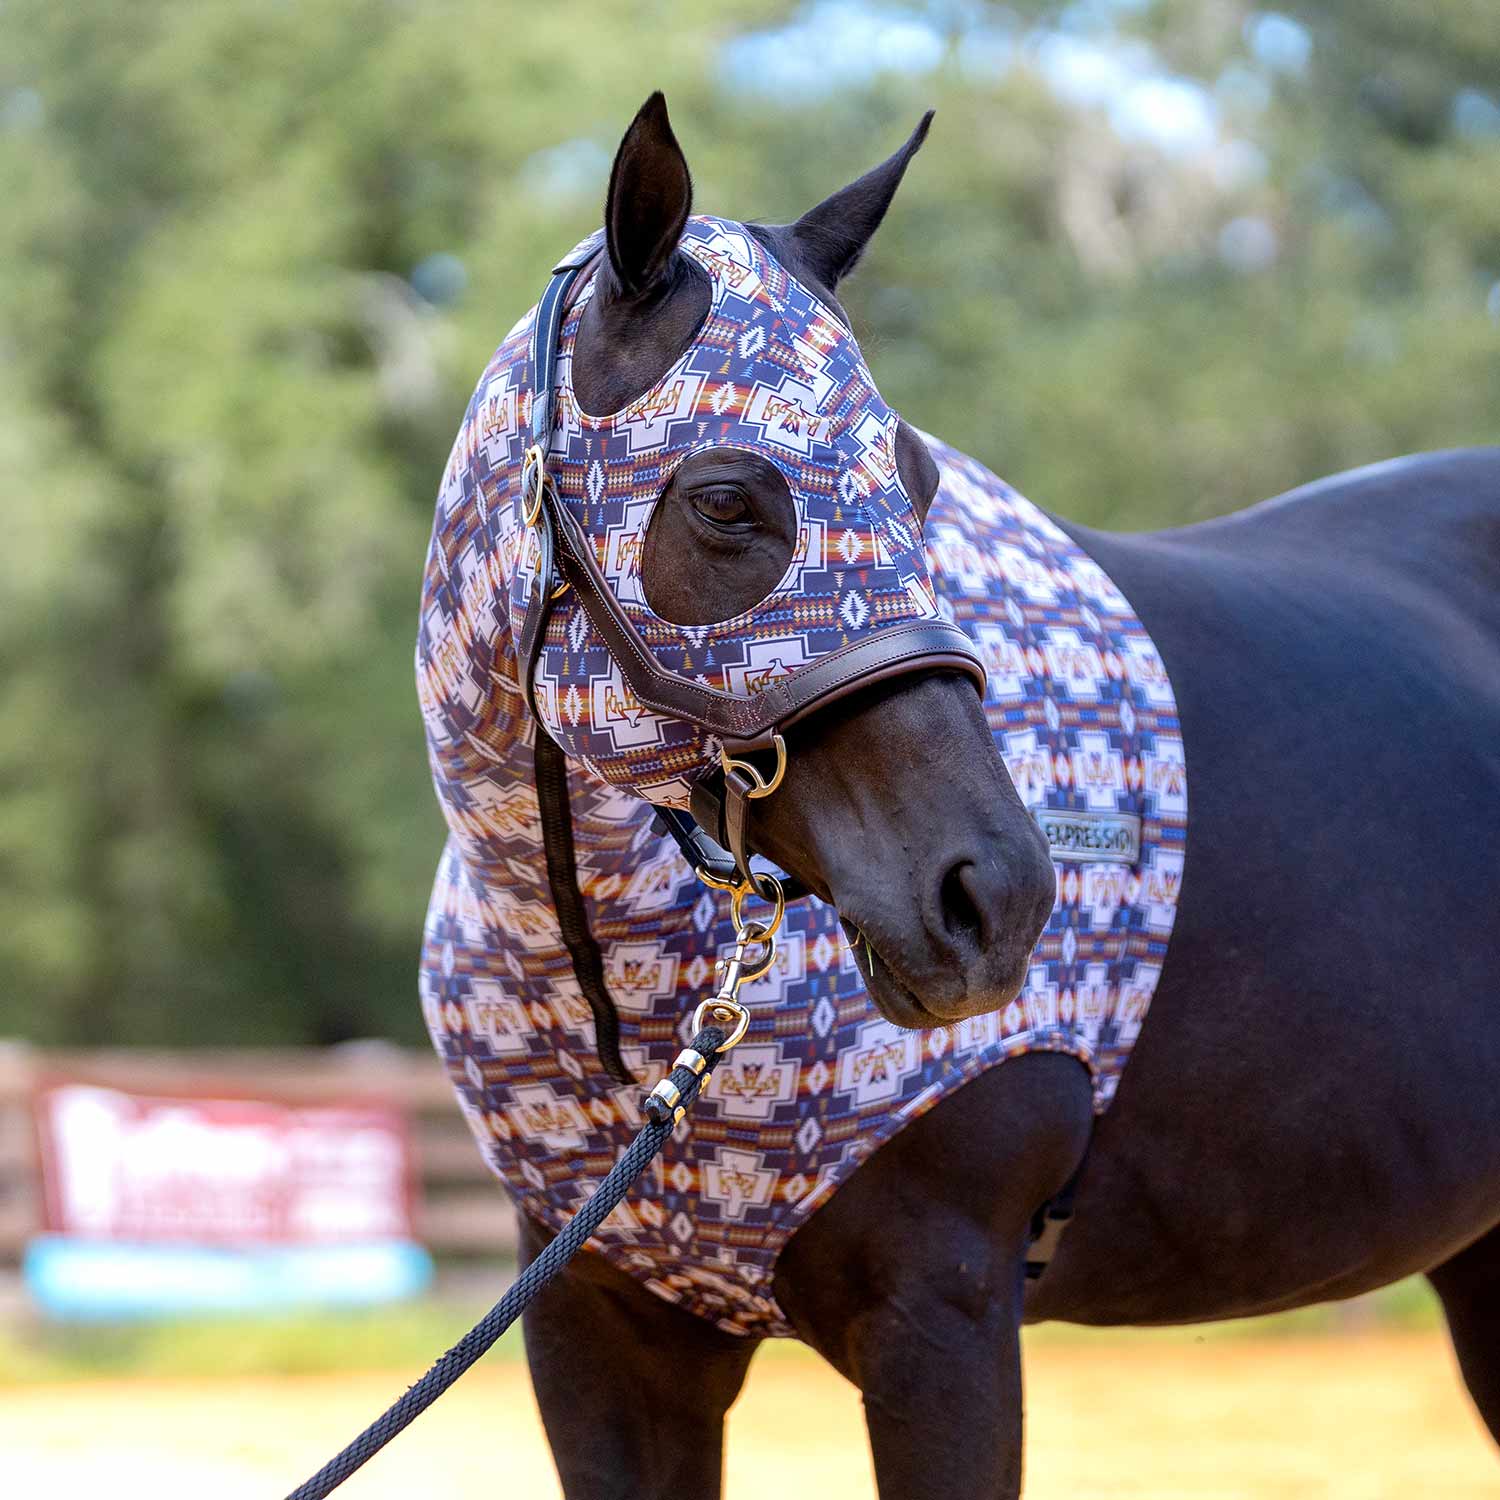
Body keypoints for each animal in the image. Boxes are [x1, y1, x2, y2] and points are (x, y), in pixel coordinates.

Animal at [418, 94, 1500, 1497]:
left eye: (921, 483)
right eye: (724, 499)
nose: (997, 899)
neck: (624, 1003)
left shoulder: (944, 1320)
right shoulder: (602, 1337)